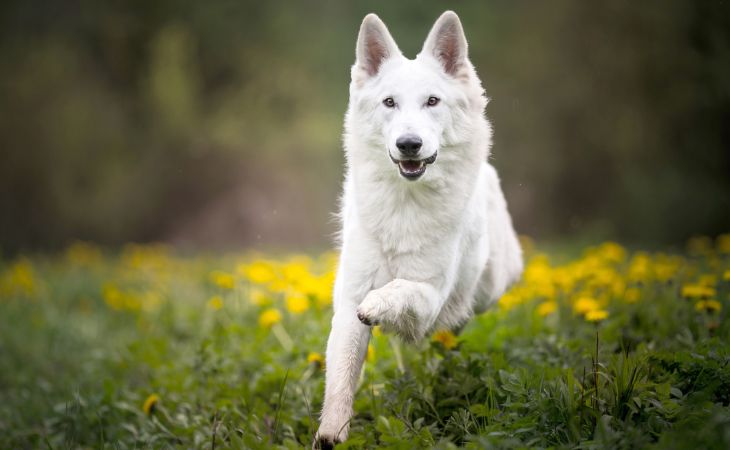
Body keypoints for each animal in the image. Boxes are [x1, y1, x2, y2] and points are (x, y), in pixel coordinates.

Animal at [316, 10, 520, 446]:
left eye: (432, 101)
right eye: (389, 102)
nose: (409, 144)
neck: (404, 207)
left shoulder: (429, 296)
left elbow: (399, 288)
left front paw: (377, 303)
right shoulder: (347, 305)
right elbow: (340, 379)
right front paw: (330, 433)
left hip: (488, 288)